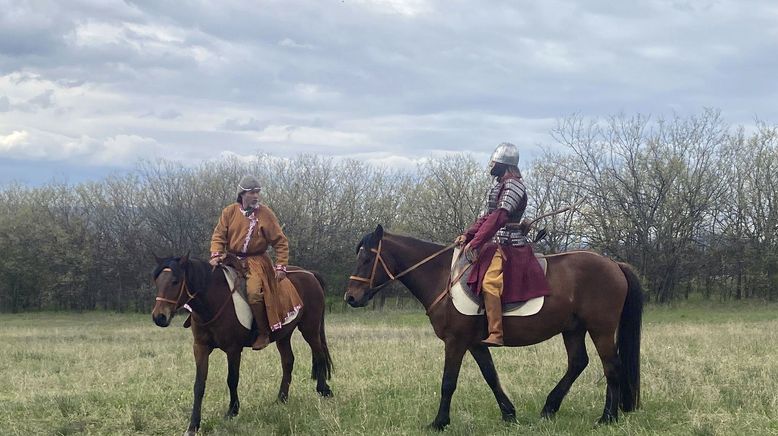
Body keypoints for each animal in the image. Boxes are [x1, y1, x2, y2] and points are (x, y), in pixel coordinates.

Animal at [152, 254, 334, 434]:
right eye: (158, 282)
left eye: (175, 281)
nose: (159, 317)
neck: (214, 299)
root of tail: (309, 274)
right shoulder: (200, 348)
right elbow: (199, 385)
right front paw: (193, 425)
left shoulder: (233, 350)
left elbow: (232, 379)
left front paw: (232, 411)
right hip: (284, 335)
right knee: (288, 361)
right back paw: (281, 398)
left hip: (310, 329)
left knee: (319, 355)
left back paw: (323, 390)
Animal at [346, 227, 644, 430]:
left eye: (366, 260)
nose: (351, 297)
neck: (443, 277)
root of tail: (614, 264)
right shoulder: (476, 344)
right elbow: (491, 376)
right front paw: (509, 413)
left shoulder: (455, 342)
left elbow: (448, 382)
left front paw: (439, 422)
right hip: (573, 329)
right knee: (578, 363)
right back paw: (550, 407)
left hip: (600, 329)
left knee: (611, 366)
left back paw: (607, 417)